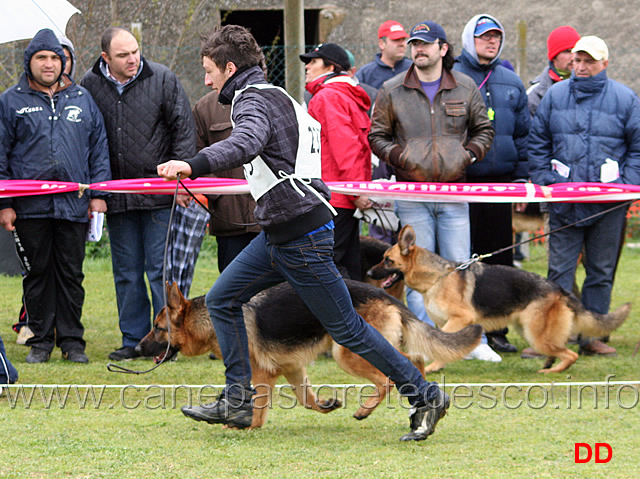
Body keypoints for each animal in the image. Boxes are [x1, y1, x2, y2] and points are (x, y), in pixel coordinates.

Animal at [139, 280, 480, 430]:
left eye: (157, 328)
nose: (137, 349)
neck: (210, 320)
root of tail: (384, 294)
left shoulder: (261, 373)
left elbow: (256, 403)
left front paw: (243, 425)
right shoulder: (291, 369)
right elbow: (307, 400)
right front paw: (327, 405)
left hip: (347, 351)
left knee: (389, 377)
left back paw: (368, 409)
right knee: (414, 360)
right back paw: (422, 401)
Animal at [368, 225, 632, 376]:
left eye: (387, 260)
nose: (369, 273)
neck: (438, 277)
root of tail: (559, 289)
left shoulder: (460, 319)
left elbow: (443, 345)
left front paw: (434, 366)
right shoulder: (442, 324)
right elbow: (442, 343)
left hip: (536, 335)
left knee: (571, 355)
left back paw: (551, 371)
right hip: (531, 332)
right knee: (560, 351)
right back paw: (548, 365)